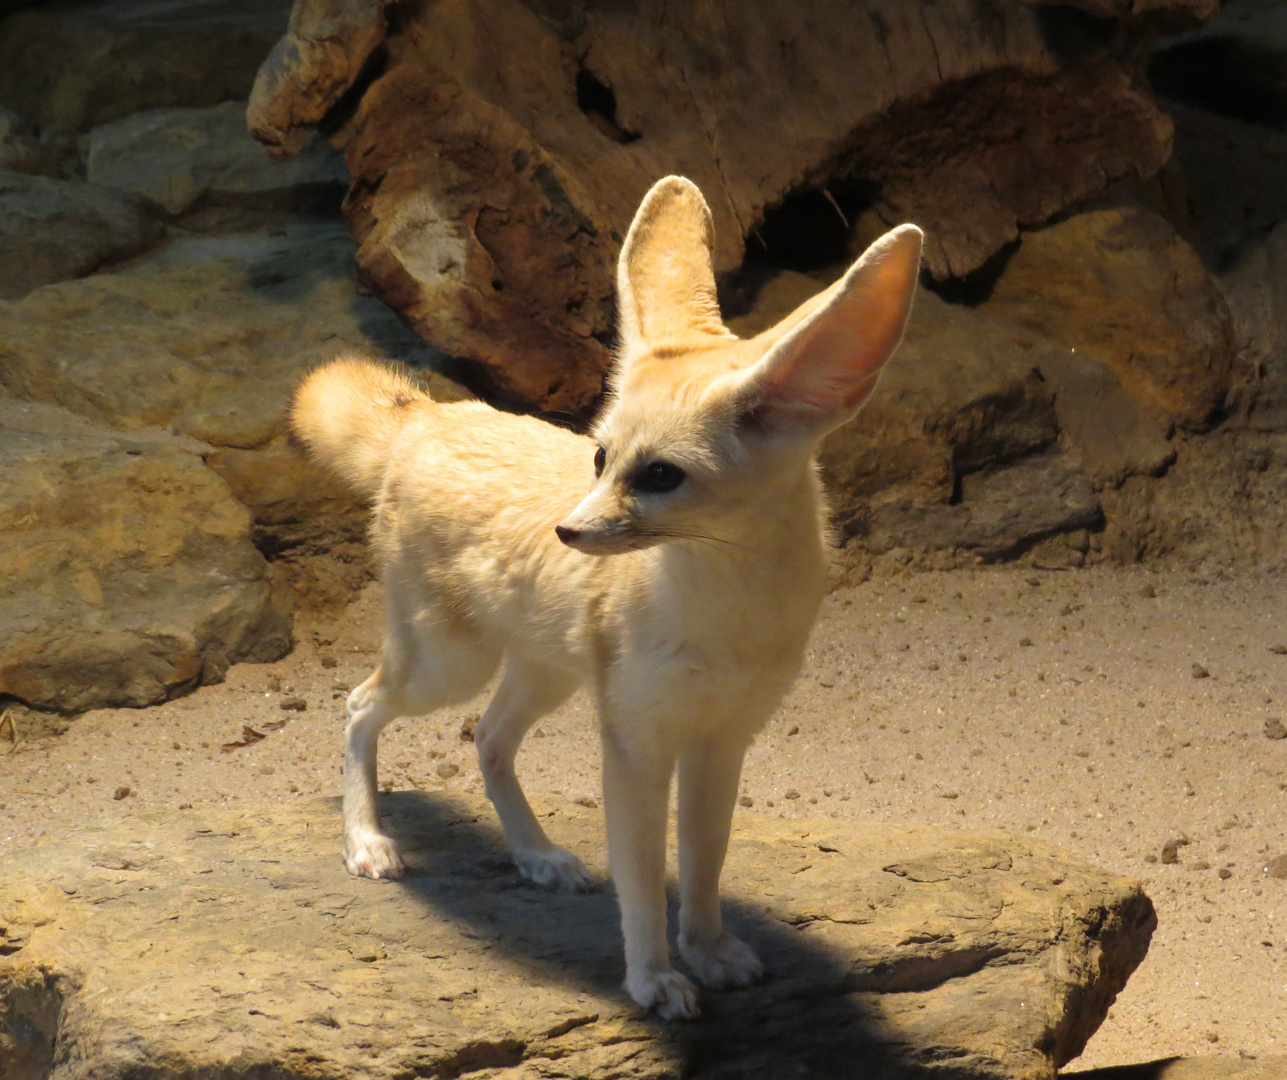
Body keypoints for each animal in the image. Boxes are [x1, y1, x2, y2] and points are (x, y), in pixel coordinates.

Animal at [292, 177, 921, 1024]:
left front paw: (708, 948)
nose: (567, 531)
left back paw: (536, 855)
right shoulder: (635, 743)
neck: (725, 614)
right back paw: (365, 841)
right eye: (599, 457)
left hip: (543, 674)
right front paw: (653, 978)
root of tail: (428, 416)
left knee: (486, 738)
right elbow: (642, 876)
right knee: (360, 706)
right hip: (446, 667)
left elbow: (705, 861)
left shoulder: (723, 742)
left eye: (659, 476)